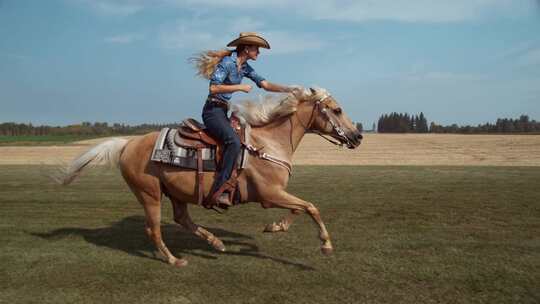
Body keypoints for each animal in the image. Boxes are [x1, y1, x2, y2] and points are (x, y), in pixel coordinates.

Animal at [59, 87, 362, 266]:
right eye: (337, 110)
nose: (357, 136)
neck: (268, 143)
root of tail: (127, 144)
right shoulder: (270, 195)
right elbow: (311, 207)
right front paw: (326, 245)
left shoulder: (277, 195)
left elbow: (301, 209)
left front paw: (274, 227)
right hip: (150, 194)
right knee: (154, 229)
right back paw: (174, 260)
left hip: (176, 193)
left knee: (182, 219)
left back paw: (215, 243)